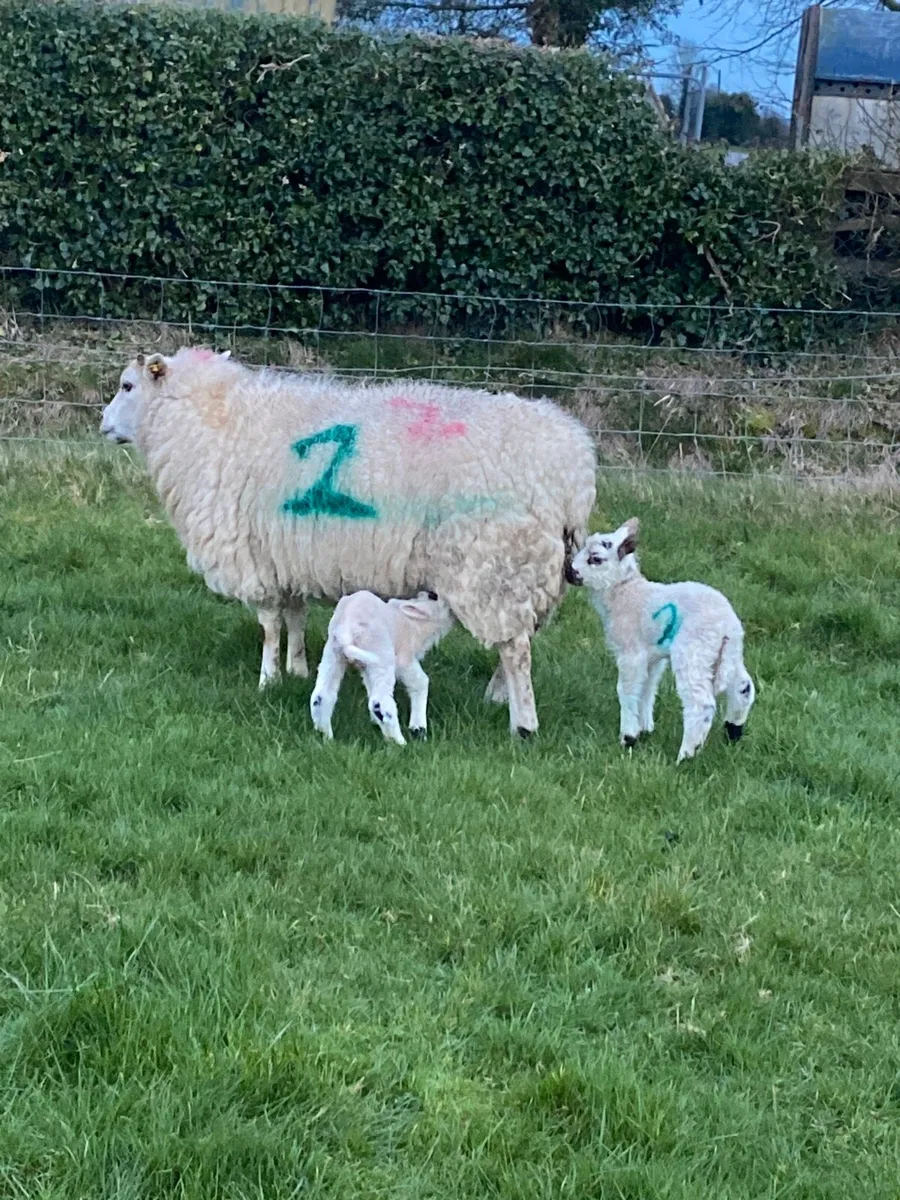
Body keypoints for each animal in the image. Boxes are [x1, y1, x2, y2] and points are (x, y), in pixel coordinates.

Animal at [311, 588, 454, 745]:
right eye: (434, 597)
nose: (431, 592)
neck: (414, 624)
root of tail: (346, 631)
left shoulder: (366, 667)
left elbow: (369, 686)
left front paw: (375, 723)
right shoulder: (404, 660)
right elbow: (421, 682)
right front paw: (418, 729)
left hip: (334, 653)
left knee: (321, 696)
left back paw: (326, 737)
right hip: (381, 653)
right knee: (380, 702)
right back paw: (399, 742)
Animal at [567, 518, 755, 761]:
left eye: (595, 558)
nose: (568, 572)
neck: (624, 592)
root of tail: (728, 625)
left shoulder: (631, 652)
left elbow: (626, 690)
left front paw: (628, 737)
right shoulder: (652, 655)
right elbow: (647, 688)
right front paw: (645, 728)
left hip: (694, 652)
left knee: (700, 704)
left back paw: (686, 755)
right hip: (727, 654)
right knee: (743, 687)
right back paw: (733, 733)